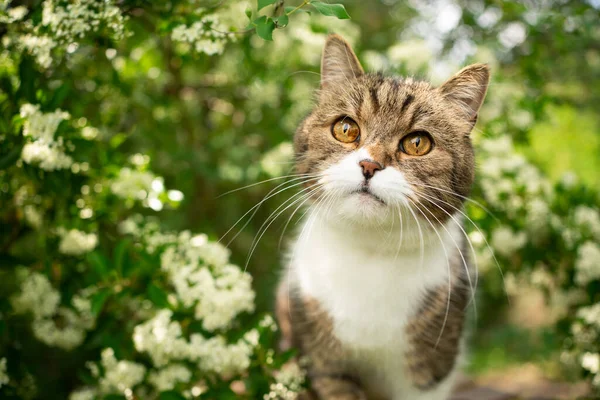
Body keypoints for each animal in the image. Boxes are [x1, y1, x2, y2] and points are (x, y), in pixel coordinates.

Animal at [274, 34, 490, 400]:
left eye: (417, 143)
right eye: (346, 129)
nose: (369, 165)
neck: (370, 253)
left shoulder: (429, 372)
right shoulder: (326, 365)